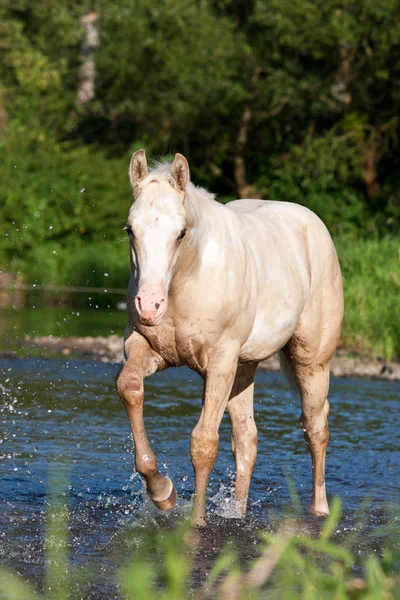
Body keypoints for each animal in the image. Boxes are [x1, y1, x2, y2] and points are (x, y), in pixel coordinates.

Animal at [115, 149, 344, 524]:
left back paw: (320, 510)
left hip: (311, 362)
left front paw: (195, 522)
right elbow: (130, 388)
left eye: (181, 232)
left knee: (316, 428)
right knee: (247, 440)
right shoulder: (145, 347)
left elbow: (204, 442)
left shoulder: (219, 362)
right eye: (130, 230)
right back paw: (236, 515)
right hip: (244, 368)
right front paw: (162, 492)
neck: (188, 277)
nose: (150, 305)